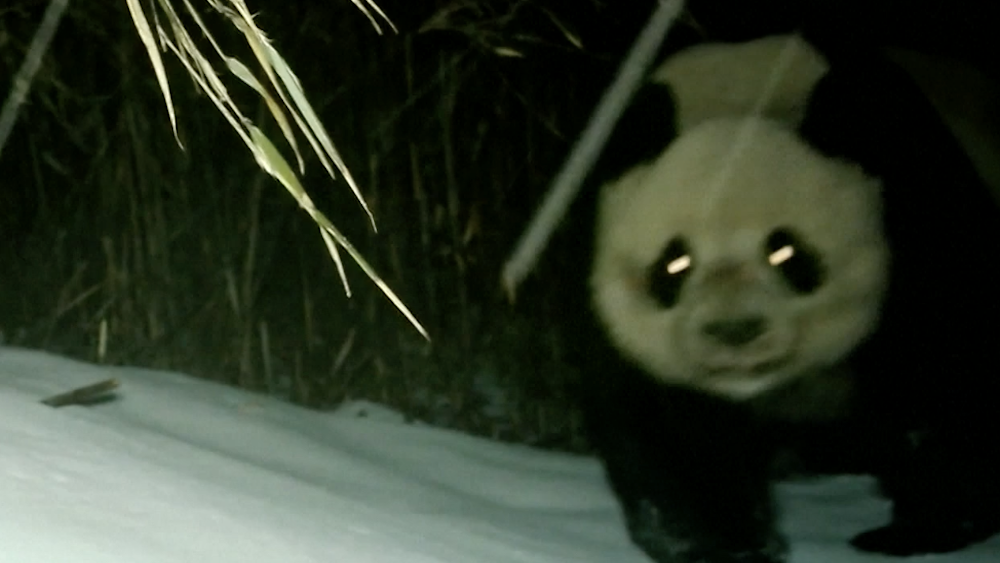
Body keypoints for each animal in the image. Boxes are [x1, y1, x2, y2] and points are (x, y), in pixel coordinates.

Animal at [566, 32, 1000, 563]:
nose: (734, 331)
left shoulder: (915, 210)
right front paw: (724, 544)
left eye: (785, 251)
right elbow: (667, 424)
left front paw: (924, 529)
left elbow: (947, 374)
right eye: (674, 263)